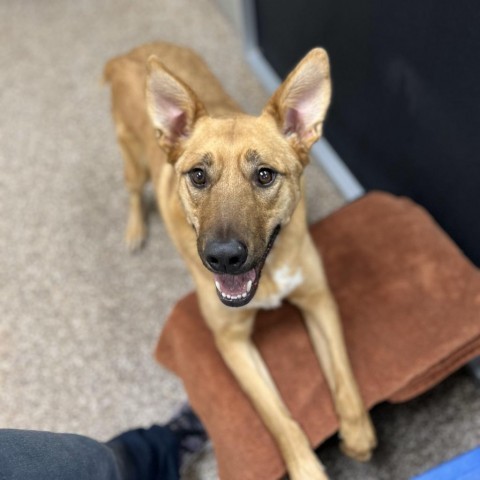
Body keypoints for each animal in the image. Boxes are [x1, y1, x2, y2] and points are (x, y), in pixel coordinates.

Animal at [104, 43, 376, 478]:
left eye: (265, 175)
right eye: (198, 175)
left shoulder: (319, 299)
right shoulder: (231, 343)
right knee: (131, 192)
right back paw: (134, 230)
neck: (268, 274)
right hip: (133, 163)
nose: (224, 258)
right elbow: (279, 419)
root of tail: (133, 52)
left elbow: (343, 373)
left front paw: (358, 433)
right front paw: (308, 468)